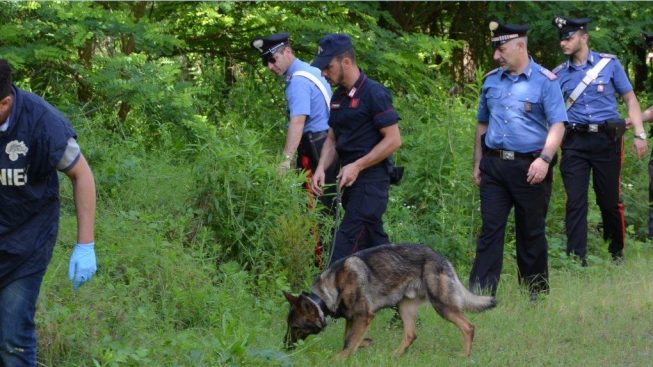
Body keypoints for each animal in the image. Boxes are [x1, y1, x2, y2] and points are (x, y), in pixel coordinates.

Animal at [282, 244, 494, 360]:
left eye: (295, 327)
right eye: (289, 325)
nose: (284, 347)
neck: (331, 290)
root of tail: (443, 259)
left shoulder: (364, 316)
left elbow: (348, 343)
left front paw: (339, 359)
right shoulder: (352, 319)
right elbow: (349, 340)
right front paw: (364, 344)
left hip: (442, 305)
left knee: (468, 327)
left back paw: (465, 356)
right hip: (404, 307)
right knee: (410, 334)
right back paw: (395, 356)